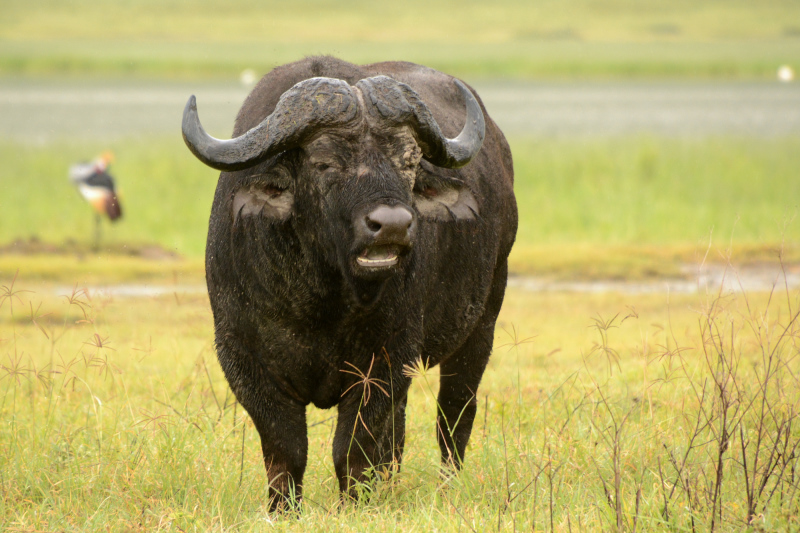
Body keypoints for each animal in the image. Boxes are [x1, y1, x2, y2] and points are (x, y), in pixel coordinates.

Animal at [181, 55, 520, 508]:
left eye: (409, 161)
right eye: (324, 162)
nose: (392, 225)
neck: (321, 300)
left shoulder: (387, 359)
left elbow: (354, 450)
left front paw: (355, 504)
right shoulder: (243, 359)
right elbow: (286, 450)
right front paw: (283, 509)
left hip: (482, 324)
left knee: (454, 417)